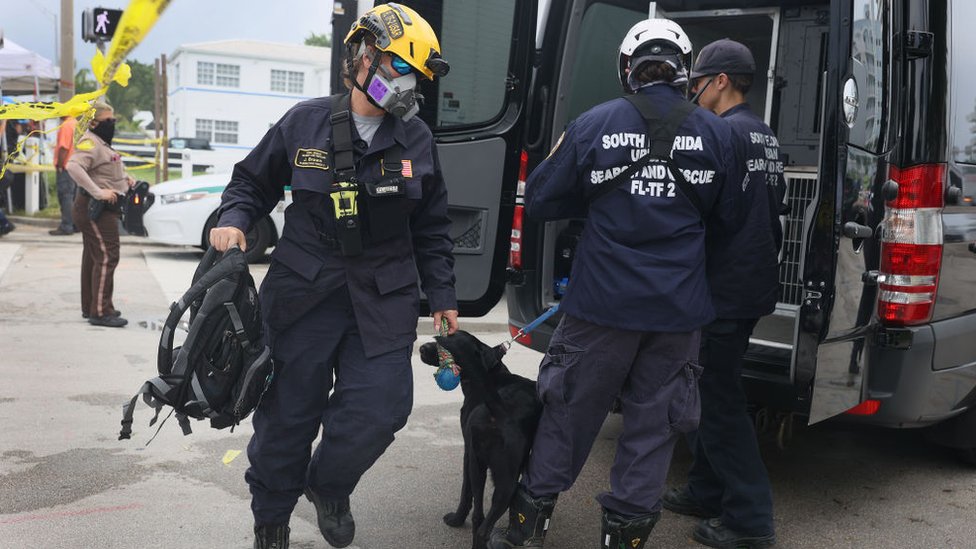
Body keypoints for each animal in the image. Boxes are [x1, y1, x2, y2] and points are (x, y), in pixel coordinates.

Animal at [418, 330, 540, 548]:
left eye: (445, 348)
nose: (422, 348)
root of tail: (501, 411)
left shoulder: (468, 453)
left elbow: (465, 494)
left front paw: (456, 520)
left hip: (490, 472)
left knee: (481, 522)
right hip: (501, 478)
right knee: (482, 520)